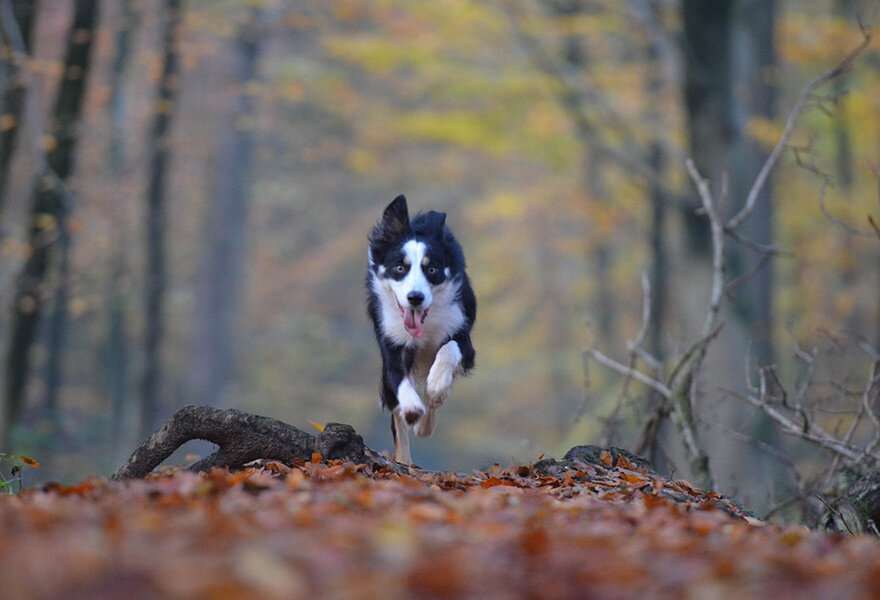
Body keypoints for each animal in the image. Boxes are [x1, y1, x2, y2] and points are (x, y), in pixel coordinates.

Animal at [364, 195, 474, 466]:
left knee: (435, 400)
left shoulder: (464, 336)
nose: (415, 297)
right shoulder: (391, 340)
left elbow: (449, 349)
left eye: (431, 269)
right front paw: (413, 407)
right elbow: (398, 378)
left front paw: (437, 384)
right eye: (399, 268)